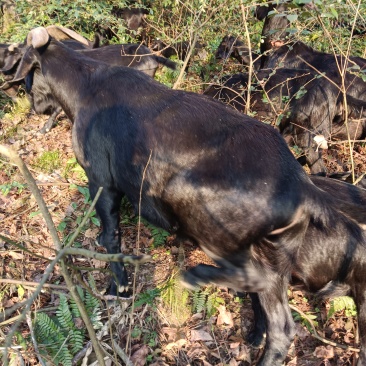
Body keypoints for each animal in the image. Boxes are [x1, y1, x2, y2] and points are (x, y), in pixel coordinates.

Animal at [12, 24, 366, 364]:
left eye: (28, 72)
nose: (33, 108)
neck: (86, 87)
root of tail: (300, 185)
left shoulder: (101, 181)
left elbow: (112, 237)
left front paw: (118, 286)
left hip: (211, 222)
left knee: (274, 319)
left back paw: (200, 276)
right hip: (271, 257)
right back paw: (254, 332)